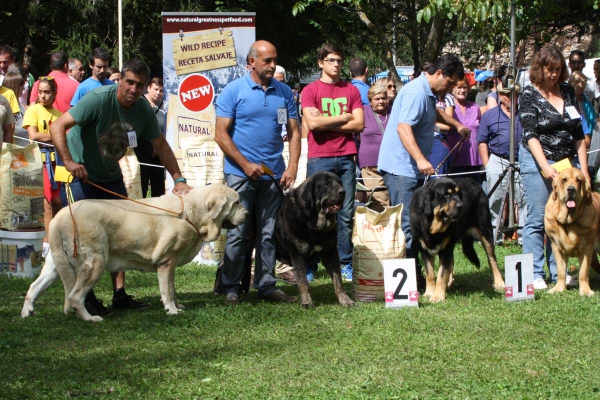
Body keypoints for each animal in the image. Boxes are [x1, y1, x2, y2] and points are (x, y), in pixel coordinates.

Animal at [21, 184, 246, 322]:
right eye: (236, 202)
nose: (247, 213)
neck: (193, 212)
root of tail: (59, 217)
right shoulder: (167, 262)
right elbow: (167, 291)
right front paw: (171, 310)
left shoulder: (170, 265)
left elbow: (173, 289)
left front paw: (177, 306)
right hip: (95, 262)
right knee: (75, 296)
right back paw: (90, 318)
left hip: (56, 265)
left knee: (33, 287)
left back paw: (26, 312)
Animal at [276, 170, 356, 308]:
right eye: (326, 184)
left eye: (339, 182)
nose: (343, 191)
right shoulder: (298, 255)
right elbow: (303, 282)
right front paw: (307, 302)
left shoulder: (331, 254)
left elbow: (338, 281)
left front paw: (345, 300)